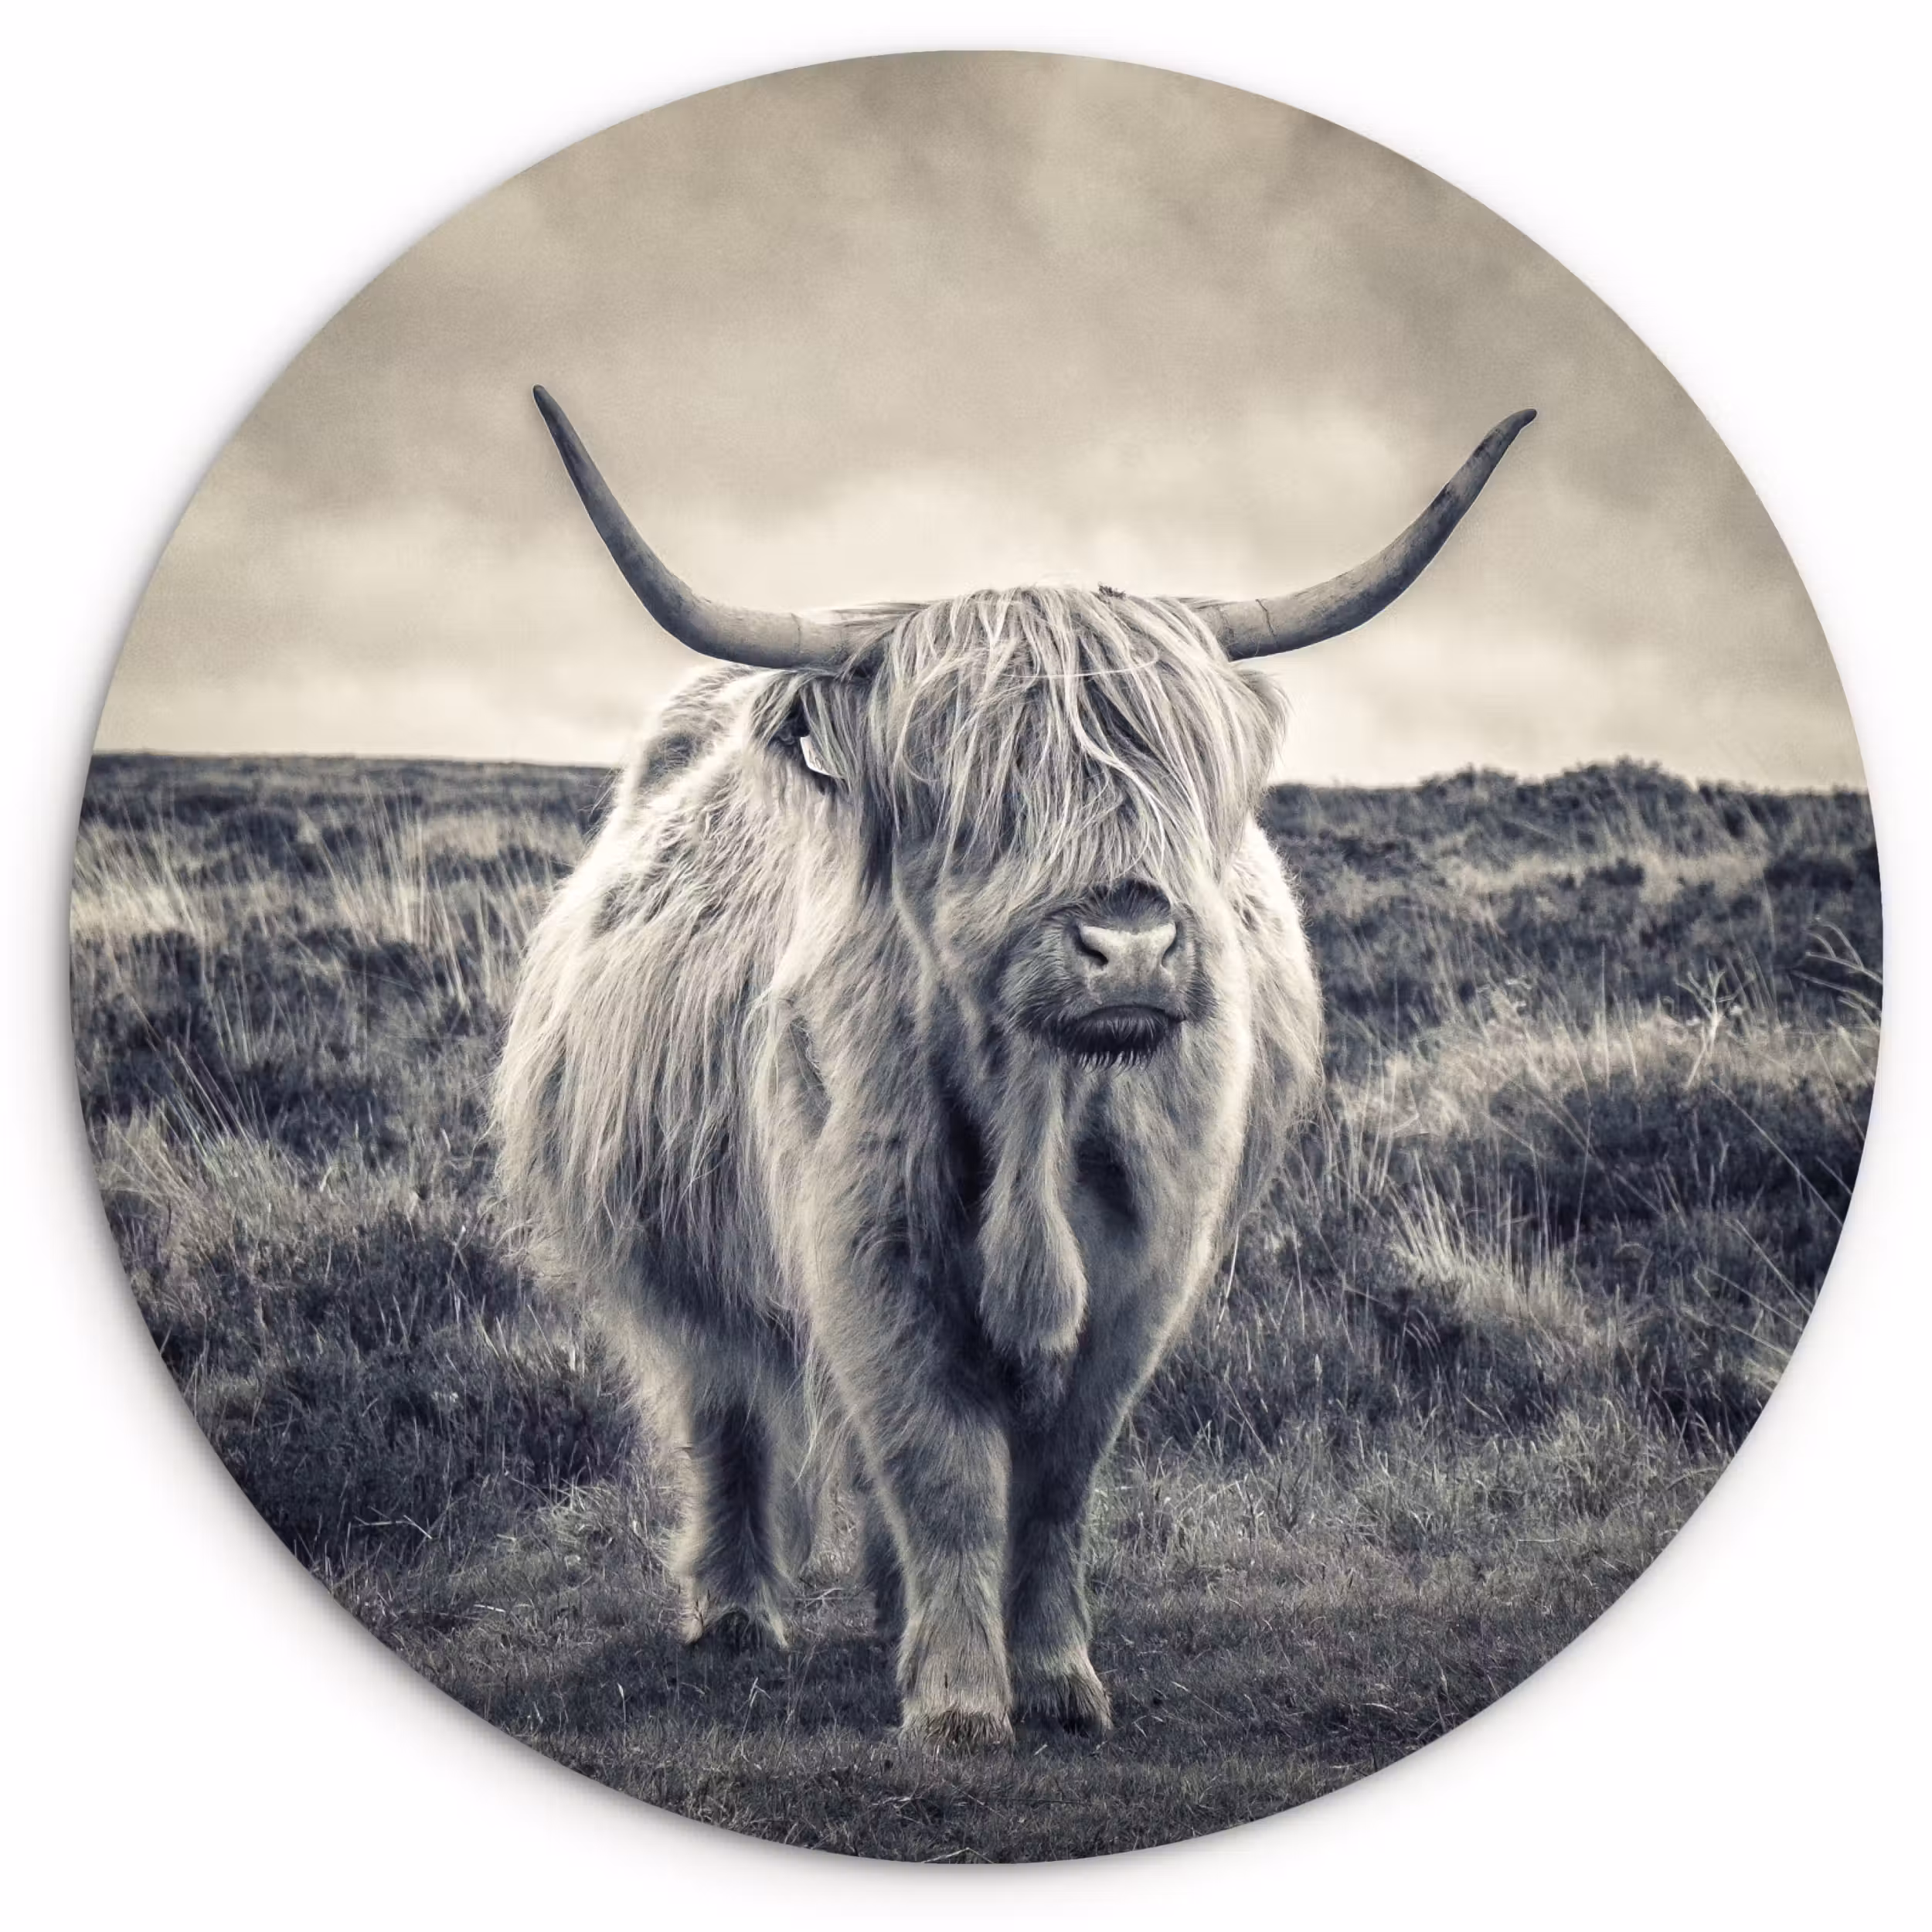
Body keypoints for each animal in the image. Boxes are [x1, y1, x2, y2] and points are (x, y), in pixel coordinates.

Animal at [493, 388, 1534, 1748]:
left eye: (1179, 774)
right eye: (969, 790)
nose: (1129, 942)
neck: (1039, 1109)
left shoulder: (1145, 1269)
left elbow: (1053, 1481)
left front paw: (1052, 1676)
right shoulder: (866, 1248)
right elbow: (936, 1466)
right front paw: (956, 1702)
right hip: (679, 1248)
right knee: (725, 1409)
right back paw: (736, 1611)